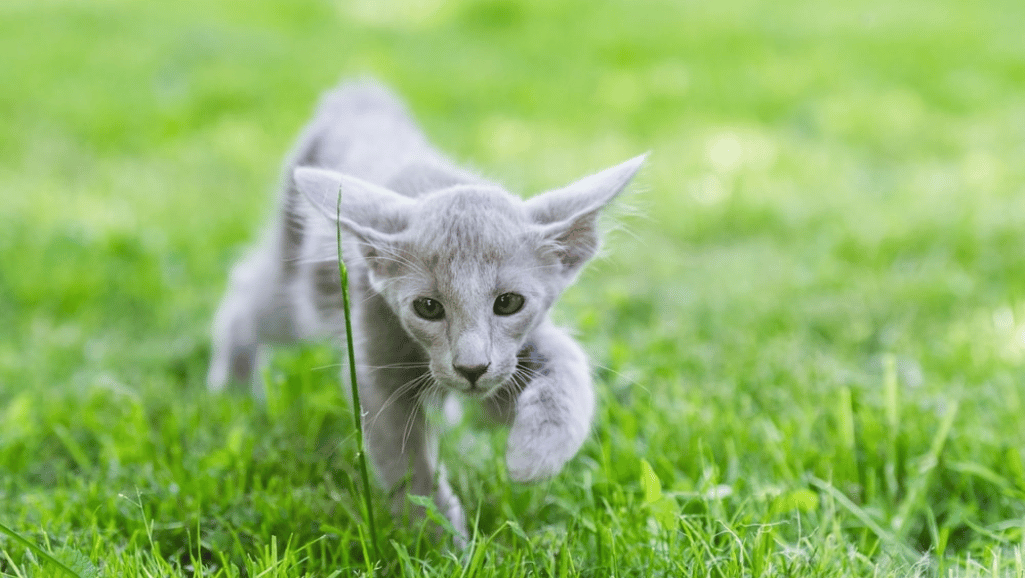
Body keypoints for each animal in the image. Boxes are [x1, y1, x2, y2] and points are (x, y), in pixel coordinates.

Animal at [203, 78, 643, 541]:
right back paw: (232, 388)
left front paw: (533, 455)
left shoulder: (517, 354)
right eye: (428, 307)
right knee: (244, 292)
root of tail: (359, 97)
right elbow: (407, 463)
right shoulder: (375, 370)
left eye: (508, 302)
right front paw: (439, 538)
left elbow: (568, 366)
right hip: (297, 293)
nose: (471, 368)